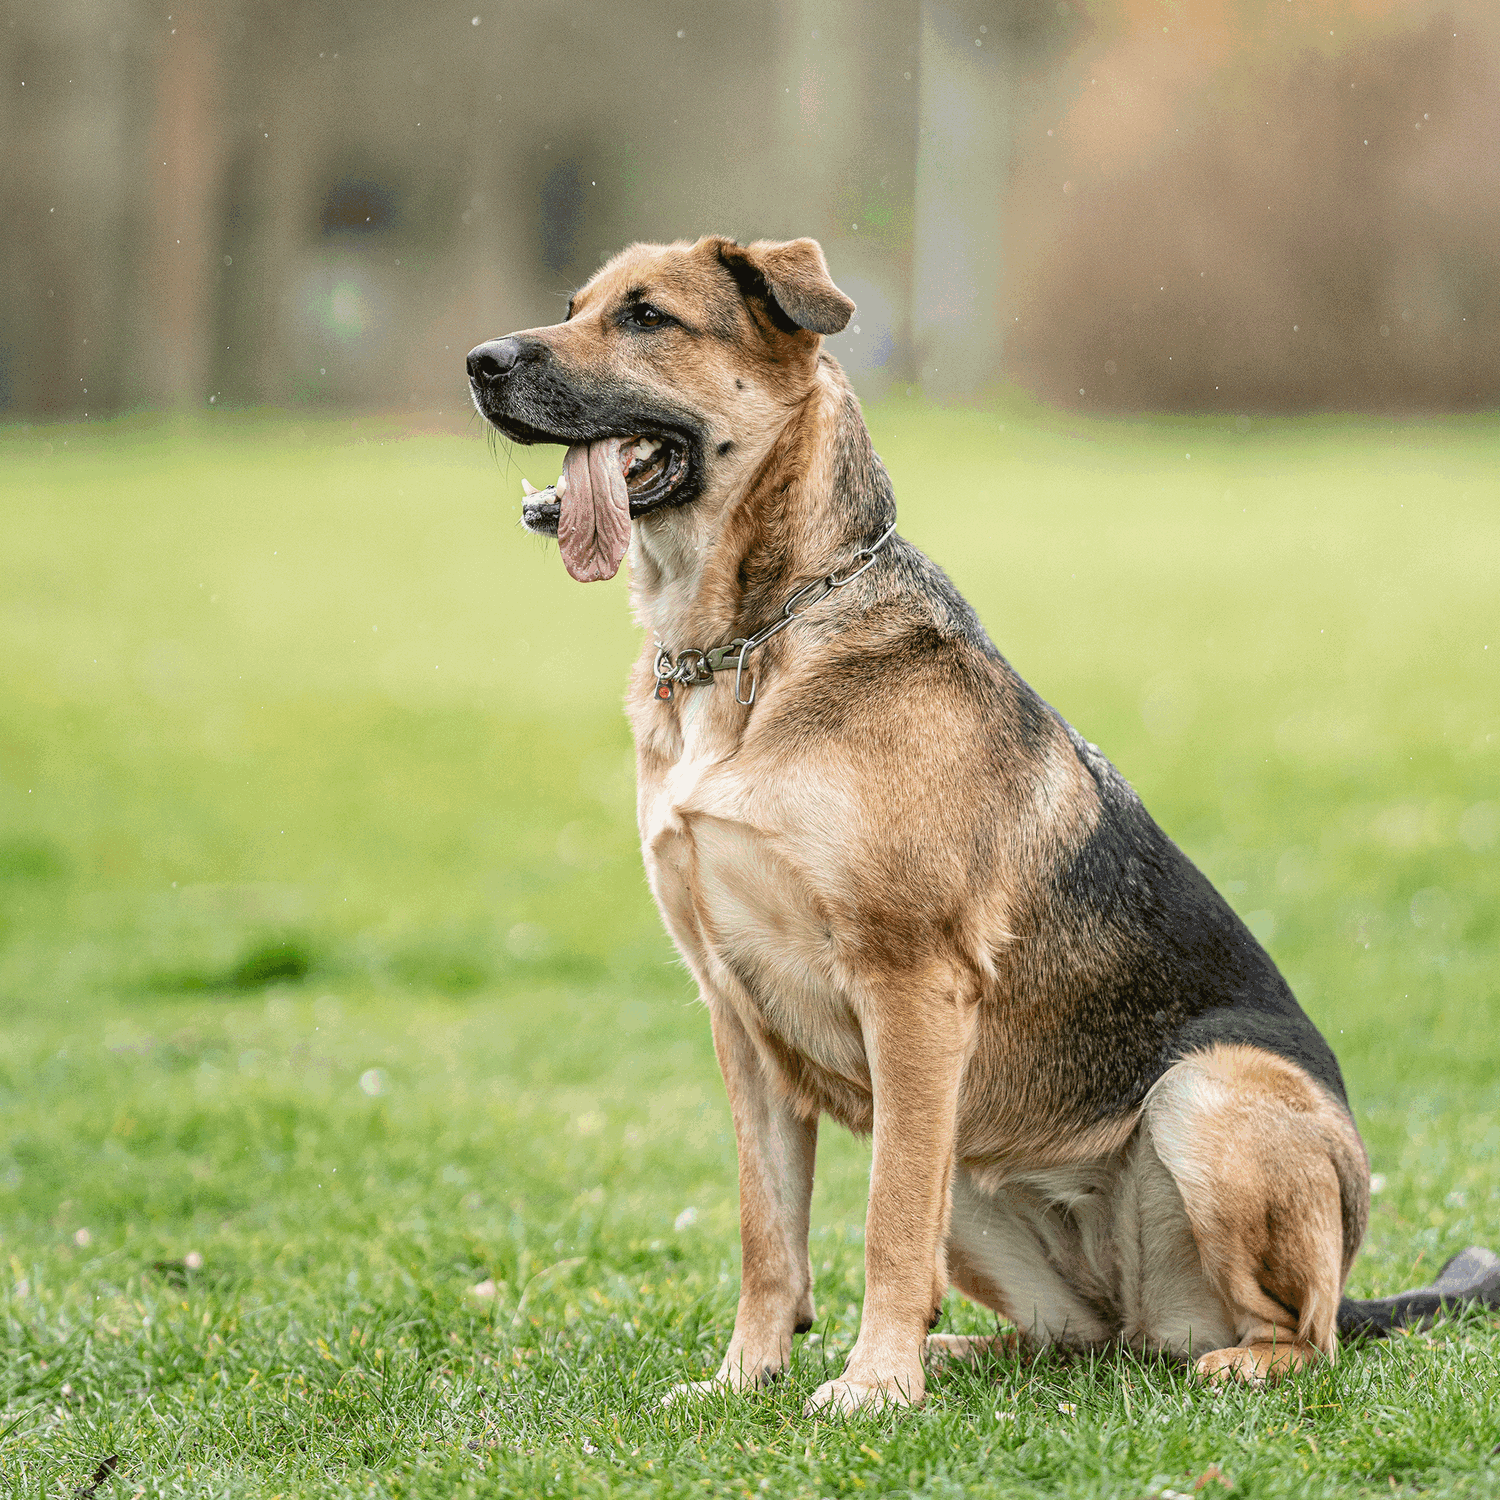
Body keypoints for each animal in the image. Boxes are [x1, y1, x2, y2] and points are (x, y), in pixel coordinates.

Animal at [468, 237, 1500, 1416]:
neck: (749, 649)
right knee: (1082, 1336)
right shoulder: (738, 1018)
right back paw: (968, 1354)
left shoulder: (911, 988)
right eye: (575, 306)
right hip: (976, 1165)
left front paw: (874, 1387)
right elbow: (766, 1232)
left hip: (1200, 1093)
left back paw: (1229, 1359)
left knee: (1305, 1332)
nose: (480, 362)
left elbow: (884, 1225)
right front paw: (747, 1378)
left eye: (647, 317)